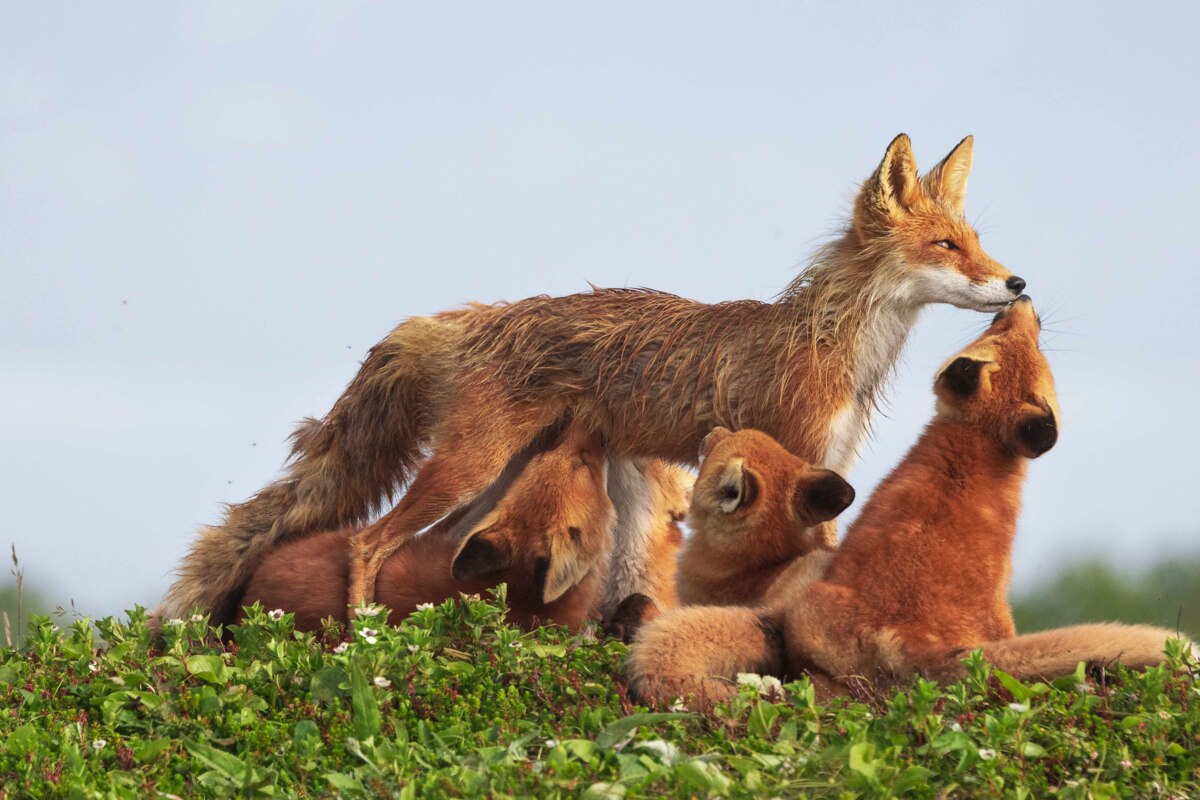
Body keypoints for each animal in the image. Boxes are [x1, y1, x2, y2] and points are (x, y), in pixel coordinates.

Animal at [159, 133, 1027, 618]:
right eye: (948, 247)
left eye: (978, 242)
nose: (1017, 284)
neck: (836, 343)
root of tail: (460, 318)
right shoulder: (795, 459)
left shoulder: (832, 469)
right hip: (465, 471)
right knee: (369, 543)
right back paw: (366, 641)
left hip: (492, 484)